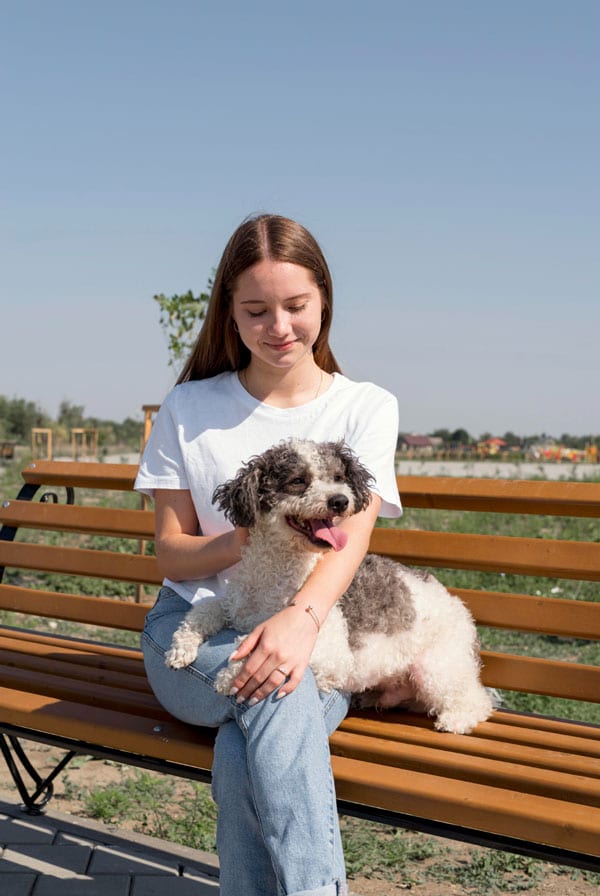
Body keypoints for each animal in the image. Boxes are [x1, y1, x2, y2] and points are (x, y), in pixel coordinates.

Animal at [166, 440, 494, 736]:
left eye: (338, 477)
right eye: (298, 481)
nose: (339, 501)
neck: (278, 572)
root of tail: (459, 606)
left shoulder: (330, 651)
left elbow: (264, 650)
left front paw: (228, 676)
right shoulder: (237, 608)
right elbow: (205, 609)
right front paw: (181, 646)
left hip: (437, 666)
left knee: (477, 700)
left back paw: (455, 720)